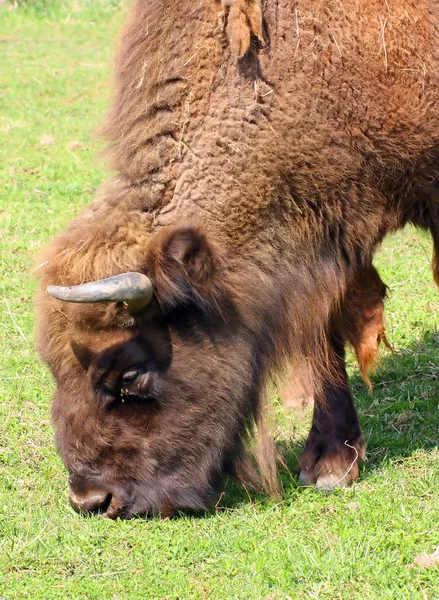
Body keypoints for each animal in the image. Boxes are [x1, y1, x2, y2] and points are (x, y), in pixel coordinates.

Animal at [36, 0, 439, 516]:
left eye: (131, 373)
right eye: (52, 366)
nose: (92, 499)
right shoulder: (324, 236)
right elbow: (325, 339)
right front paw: (330, 464)